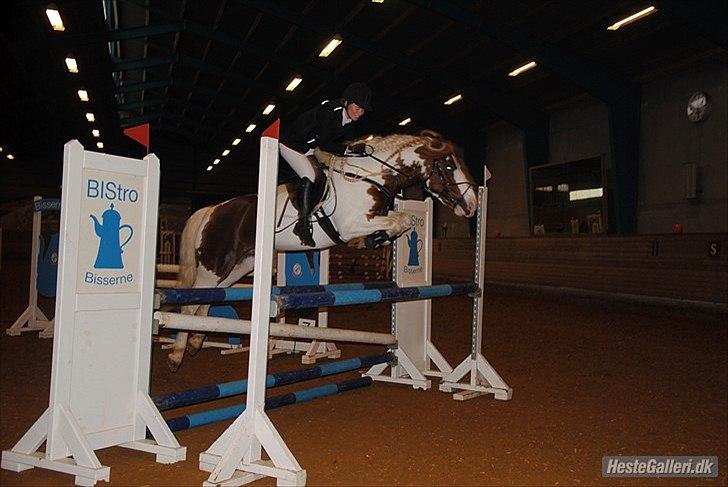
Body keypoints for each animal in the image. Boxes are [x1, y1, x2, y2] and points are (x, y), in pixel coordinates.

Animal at [166, 130, 479, 371]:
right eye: (449, 167)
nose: (473, 206)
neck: (370, 178)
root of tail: (212, 209)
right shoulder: (350, 224)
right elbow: (396, 222)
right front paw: (368, 241)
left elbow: (401, 222)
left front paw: (377, 240)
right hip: (215, 264)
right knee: (191, 302)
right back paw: (177, 354)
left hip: (239, 266)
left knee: (206, 301)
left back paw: (195, 342)